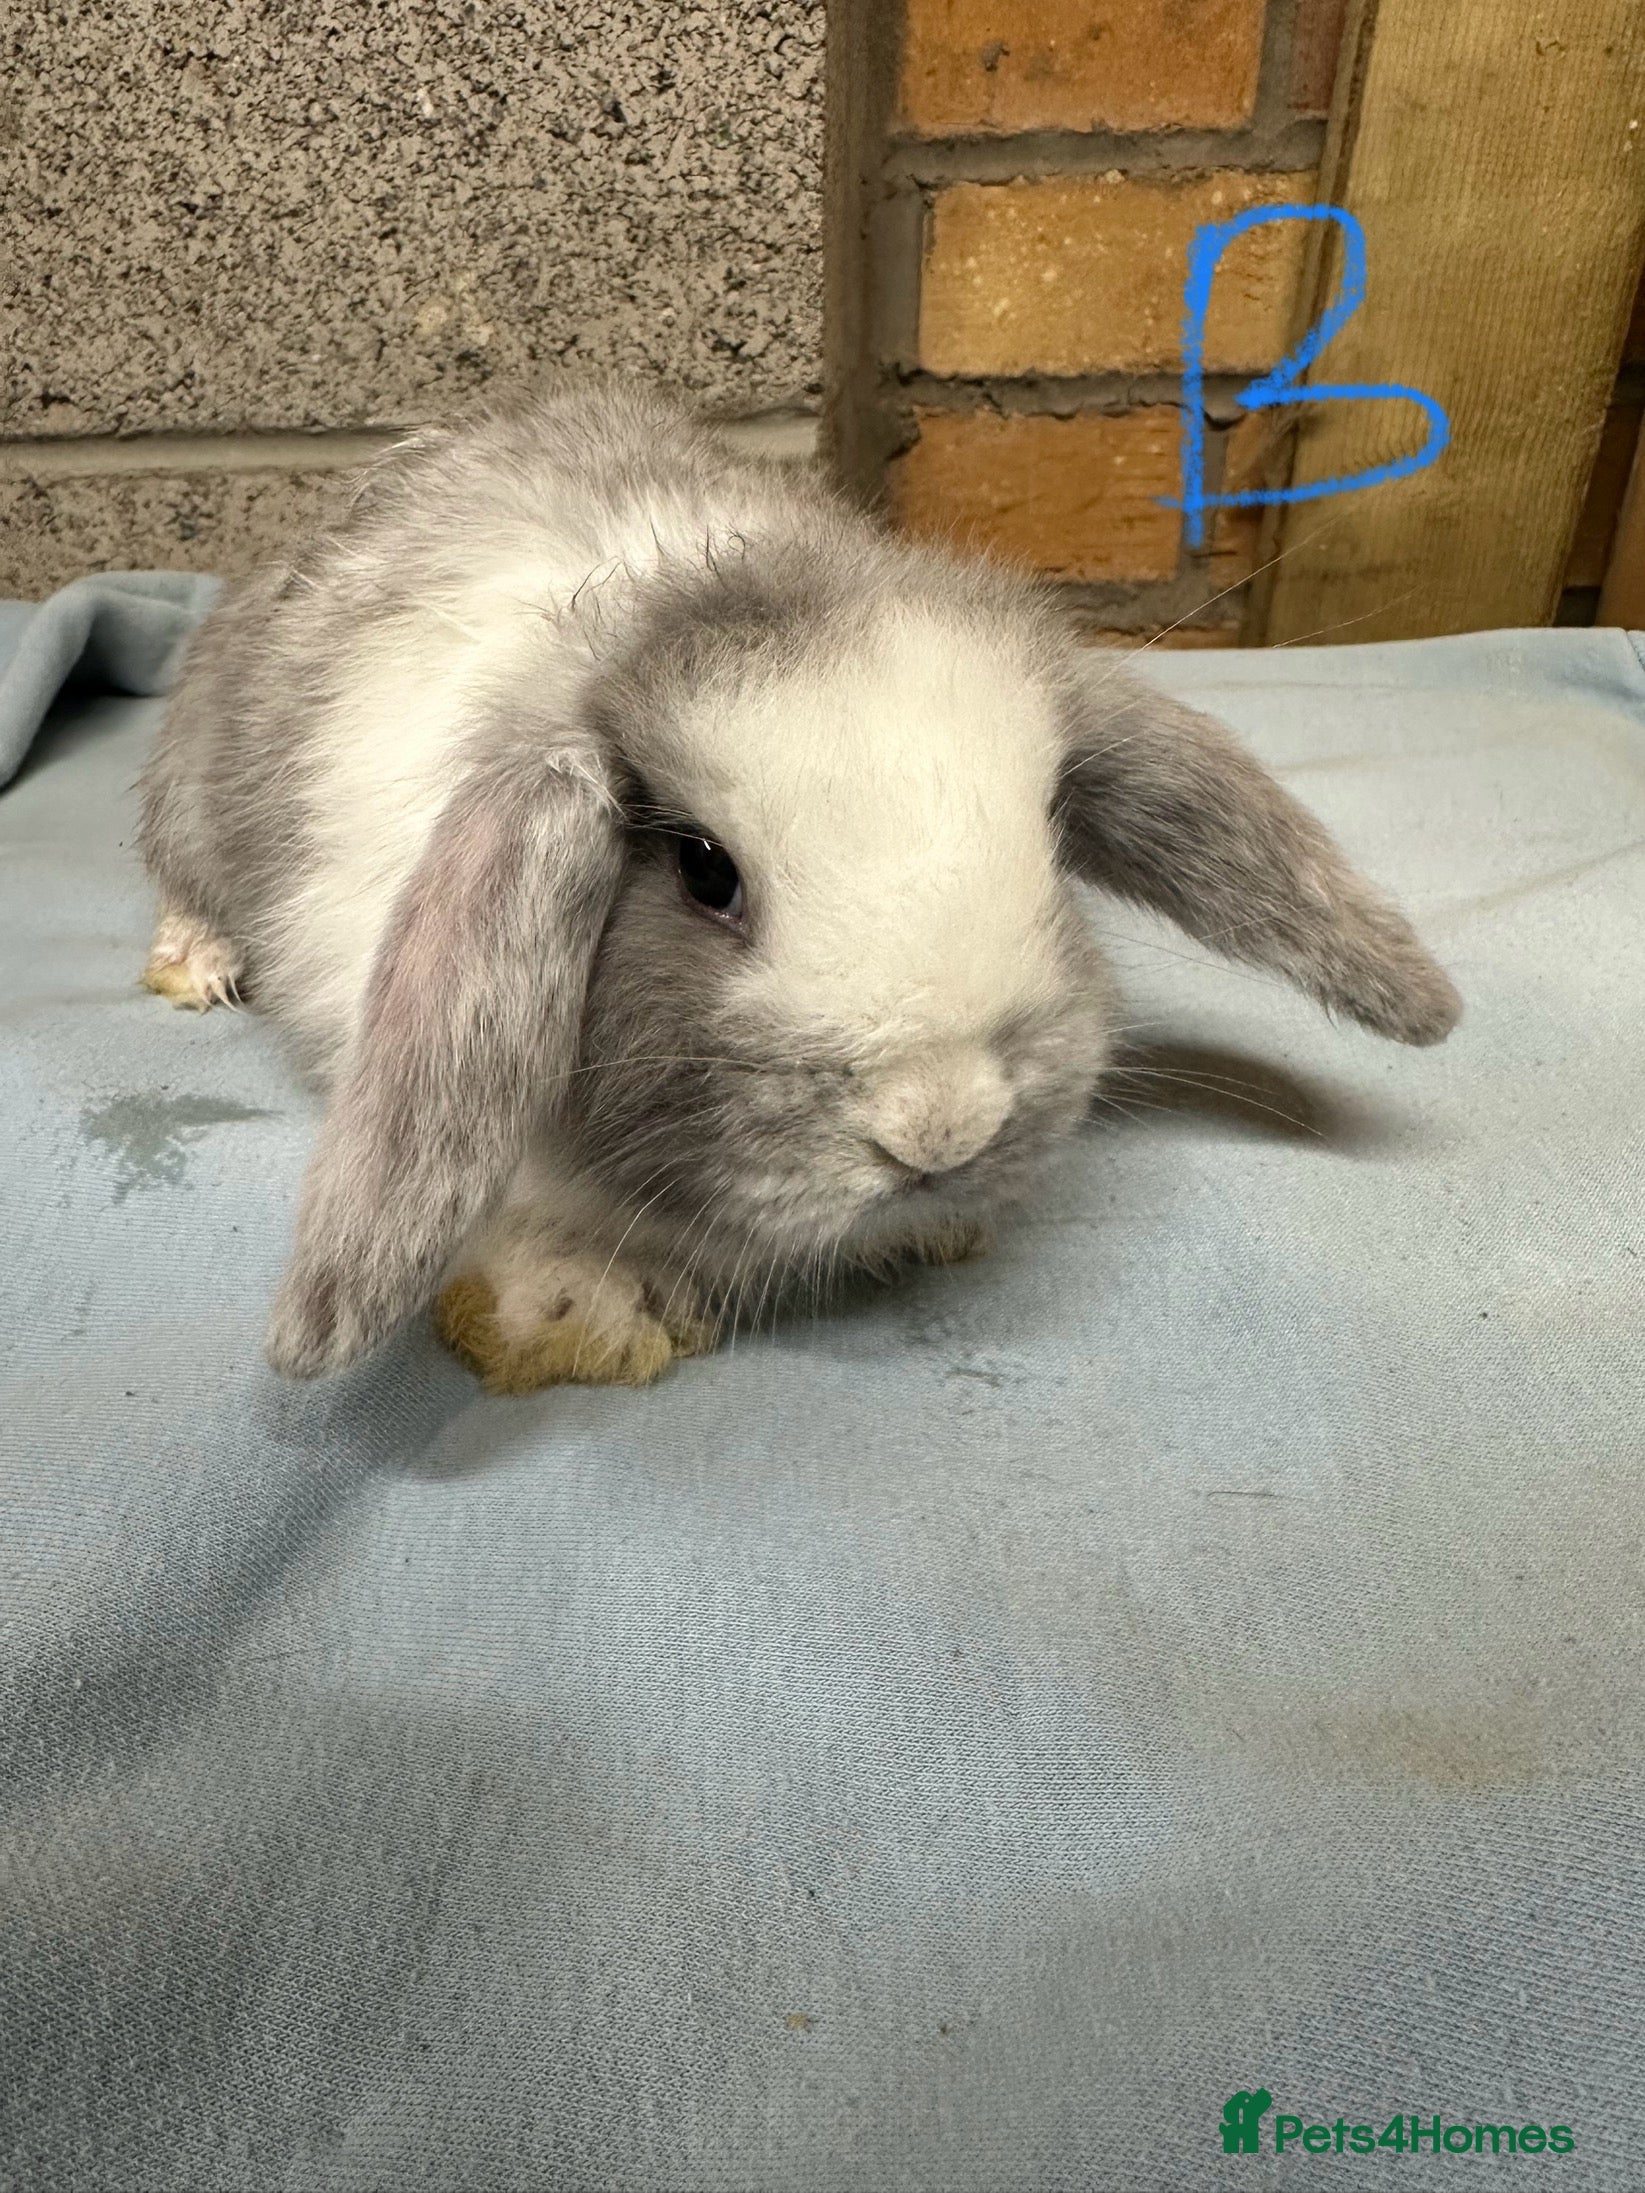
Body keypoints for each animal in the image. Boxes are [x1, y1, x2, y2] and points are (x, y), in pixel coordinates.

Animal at [138, 379, 1460, 1393]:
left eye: (1043, 835)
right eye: (703, 871)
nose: (940, 1129)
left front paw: (947, 1227)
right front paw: (574, 1317)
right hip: (196, 797)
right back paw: (199, 964)